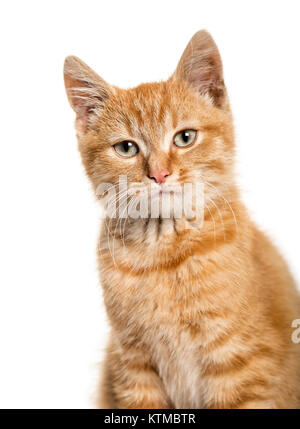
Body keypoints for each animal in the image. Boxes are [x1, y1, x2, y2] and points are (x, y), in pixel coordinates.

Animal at [63, 30, 300, 408]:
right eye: (126, 148)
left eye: (184, 137)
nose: (159, 174)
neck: (163, 256)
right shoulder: (133, 365)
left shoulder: (239, 363)